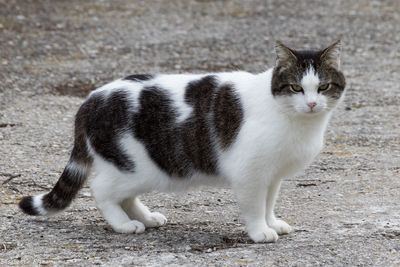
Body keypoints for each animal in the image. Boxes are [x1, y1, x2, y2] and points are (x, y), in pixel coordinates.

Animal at [18, 40, 346, 244]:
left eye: (323, 87)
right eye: (295, 88)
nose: (312, 104)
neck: (295, 119)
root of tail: (90, 100)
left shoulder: (272, 175)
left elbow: (268, 203)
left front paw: (272, 222)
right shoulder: (250, 173)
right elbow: (254, 207)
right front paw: (259, 232)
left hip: (144, 170)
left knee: (125, 196)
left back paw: (146, 217)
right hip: (134, 166)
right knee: (102, 190)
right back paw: (123, 224)